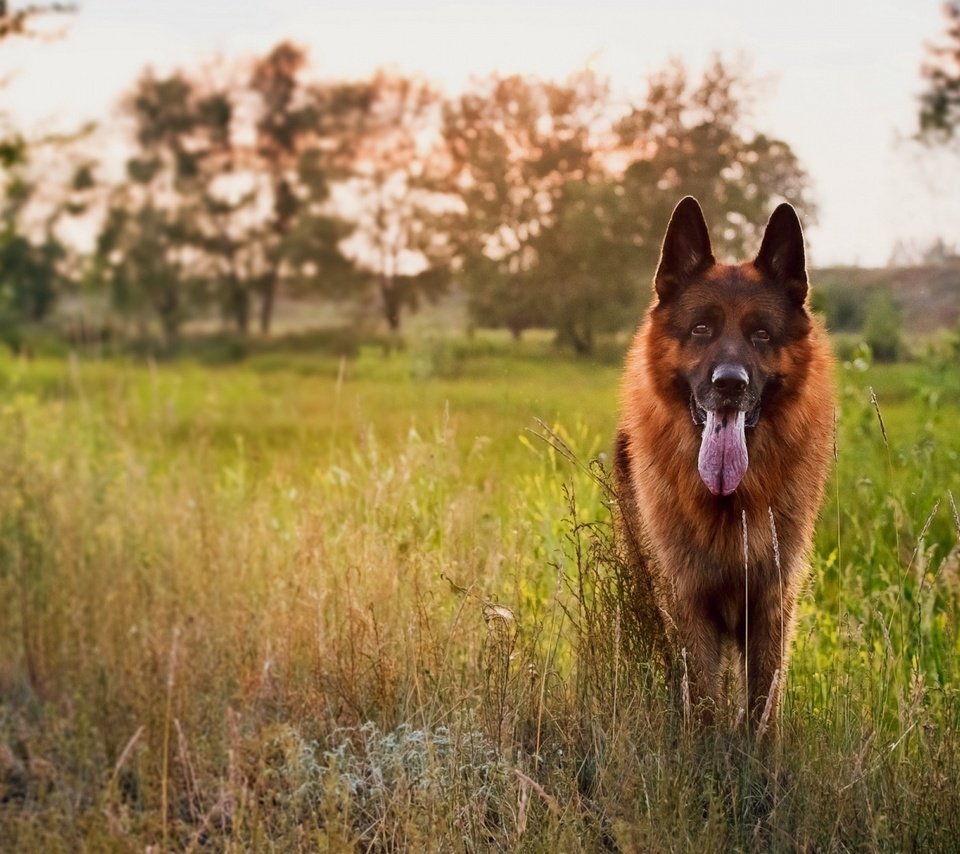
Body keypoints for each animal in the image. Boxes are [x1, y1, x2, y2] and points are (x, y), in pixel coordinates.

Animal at [616, 196, 832, 736]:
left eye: (761, 334)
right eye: (701, 328)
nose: (730, 384)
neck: (731, 502)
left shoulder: (772, 609)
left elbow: (762, 711)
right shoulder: (689, 608)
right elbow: (706, 706)